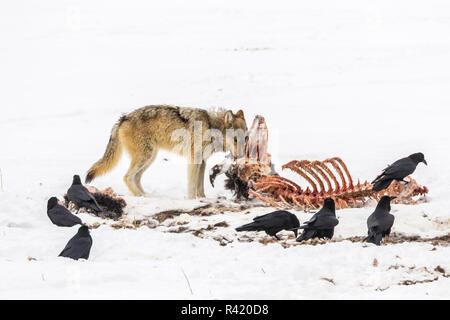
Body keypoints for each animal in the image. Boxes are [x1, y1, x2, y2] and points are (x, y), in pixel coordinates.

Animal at [84, 105, 246, 199]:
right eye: (235, 140)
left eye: (245, 138)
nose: (241, 156)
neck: (211, 127)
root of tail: (123, 118)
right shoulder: (193, 161)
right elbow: (192, 185)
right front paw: (193, 202)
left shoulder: (202, 162)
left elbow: (200, 187)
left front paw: (202, 199)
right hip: (146, 156)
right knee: (127, 177)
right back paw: (141, 197)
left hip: (150, 158)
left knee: (136, 178)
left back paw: (145, 195)